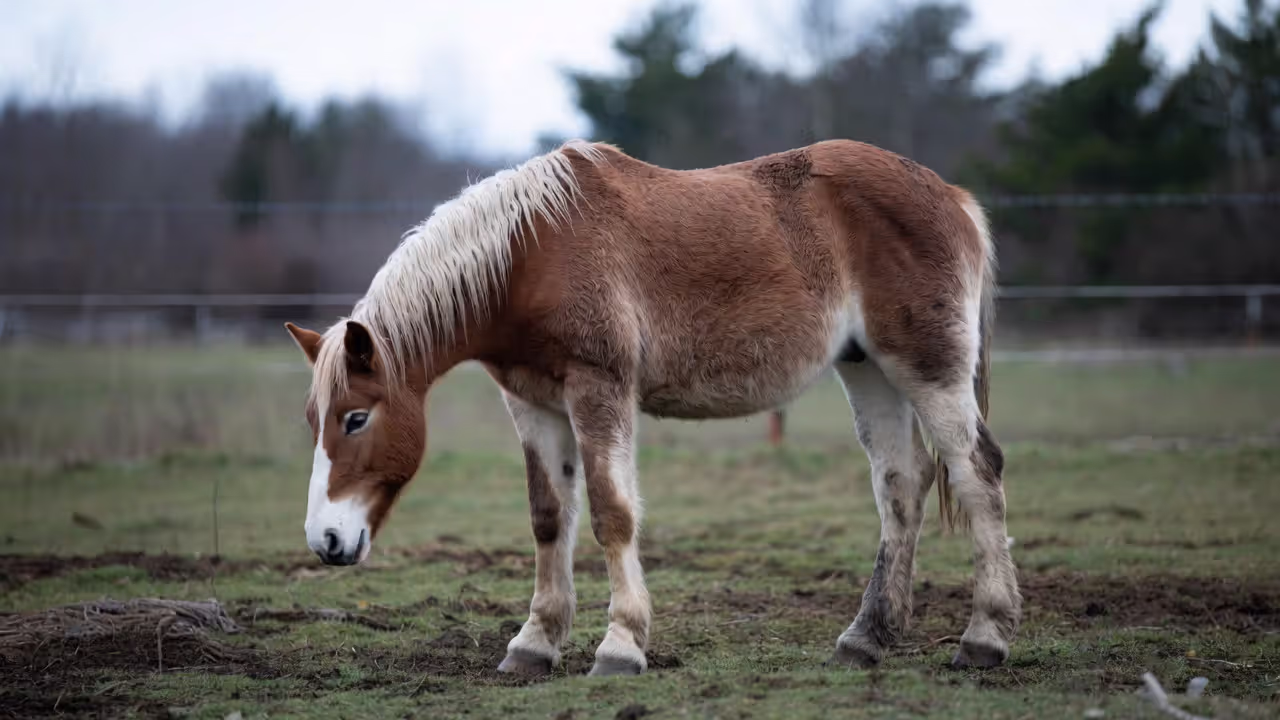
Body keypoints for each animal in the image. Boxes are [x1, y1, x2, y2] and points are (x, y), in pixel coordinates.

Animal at [283, 138, 1021, 677]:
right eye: (315, 421)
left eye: (356, 418)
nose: (326, 541)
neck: (529, 255)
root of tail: (951, 196)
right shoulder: (533, 403)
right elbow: (549, 518)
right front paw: (534, 643)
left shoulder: (598, 389)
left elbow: (612, 515)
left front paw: (620, 646)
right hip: (868, 370)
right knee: (902, 485)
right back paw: (867, 637)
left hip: (927, 368)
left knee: (978, 471)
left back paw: (984, 636)